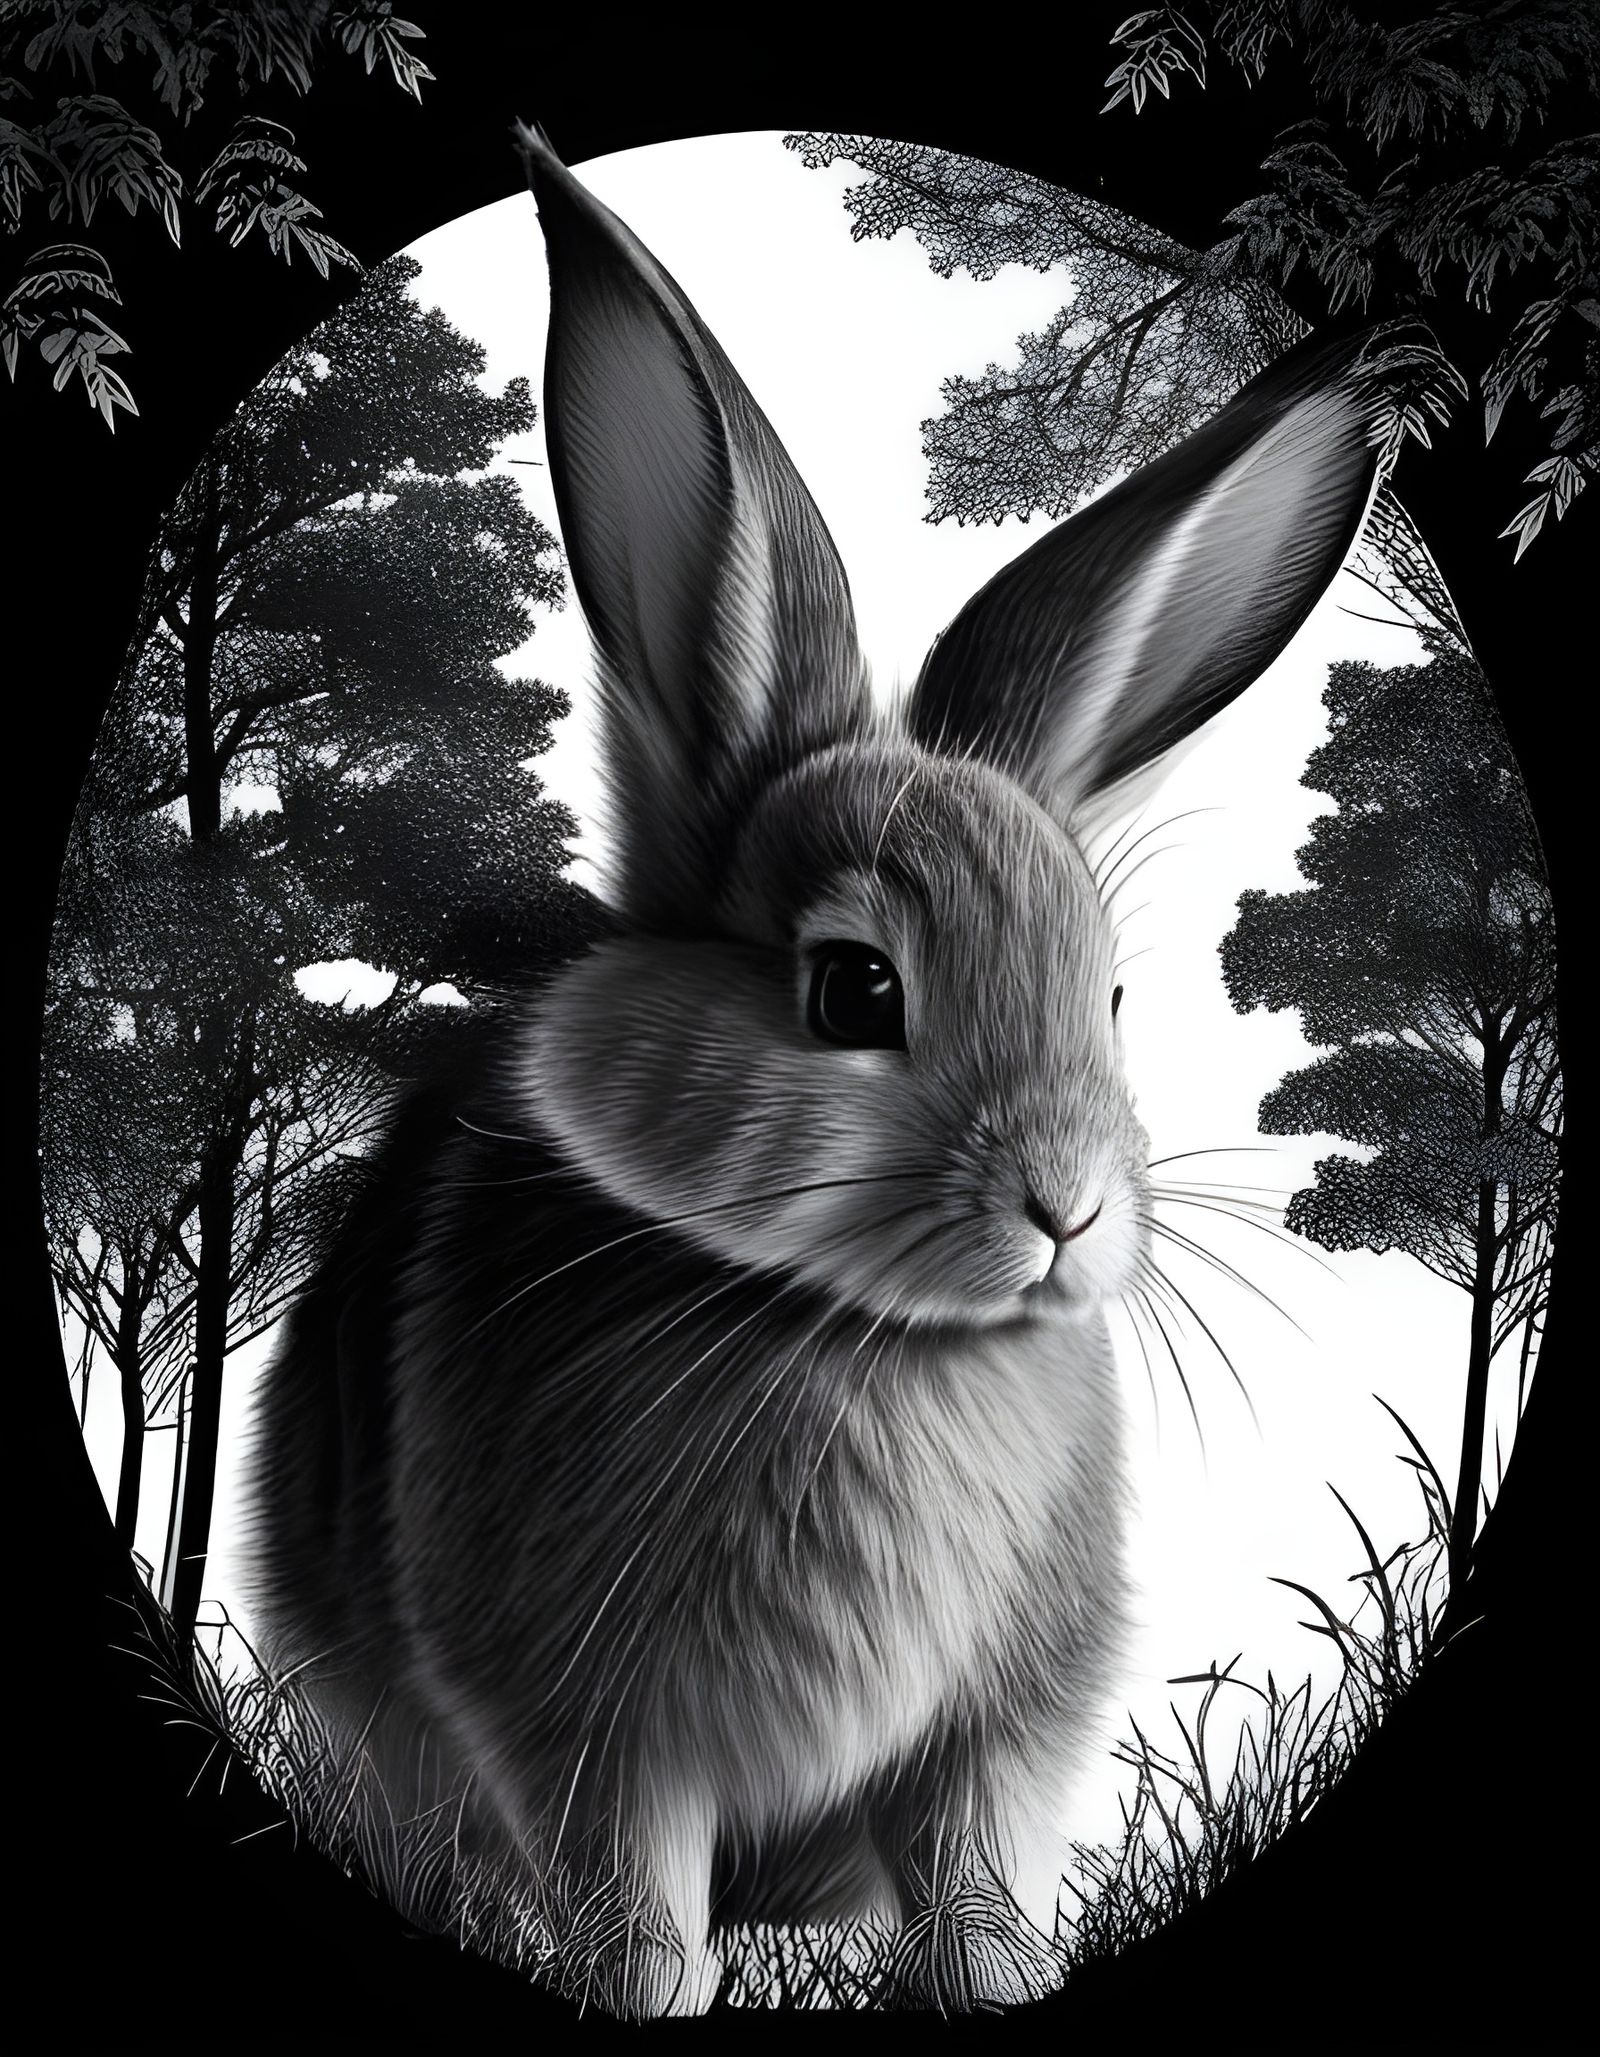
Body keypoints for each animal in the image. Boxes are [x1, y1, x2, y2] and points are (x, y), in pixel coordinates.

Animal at [244, 124, 1382, 2018]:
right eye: (856, 988)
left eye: (1112, 994)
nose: (1067, 1209)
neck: (859, 1335)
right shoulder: (595, 1739)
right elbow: (635, 1914)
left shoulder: (990, 1739)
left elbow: (972, 1891)